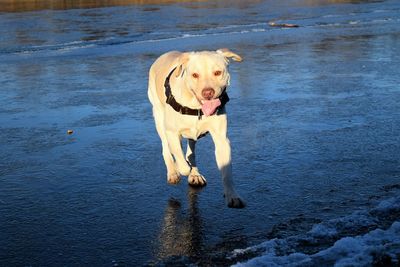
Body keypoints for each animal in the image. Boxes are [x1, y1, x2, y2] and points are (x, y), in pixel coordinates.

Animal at [148, 49, 245, 209]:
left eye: (217, 72)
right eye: (195, 75)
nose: (208, 92)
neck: (197, 108)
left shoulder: (222, 140)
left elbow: (226, 171)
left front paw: (232, 195)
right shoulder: (172, 133)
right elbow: (181, 162)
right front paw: (182, 168)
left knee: (191, 150)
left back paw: (194, 174)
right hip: (159, 117)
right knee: (165, 148)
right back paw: (173, 172)